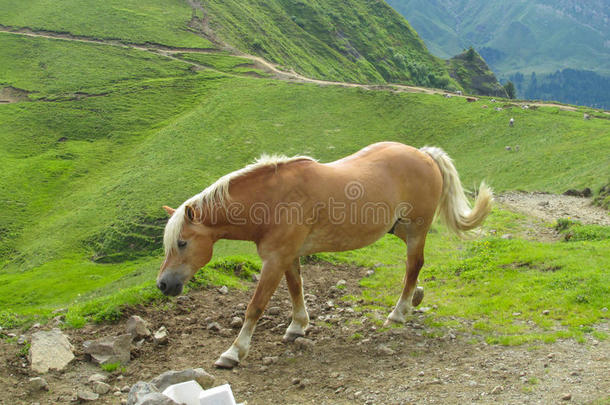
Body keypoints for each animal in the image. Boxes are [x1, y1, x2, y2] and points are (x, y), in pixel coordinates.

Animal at [156, 140, 490, 368]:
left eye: (182, 243)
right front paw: (297, 326)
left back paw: (399, 311)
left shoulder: (274, 260)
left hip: (417, 230)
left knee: (414, 265)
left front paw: (233, 352)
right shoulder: (288, 257)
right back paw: (413, 300)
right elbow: (296, 289)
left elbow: (256, 306)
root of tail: (423, 154)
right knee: (415, 268)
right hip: (398, 228)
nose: (163, 284)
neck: (272, 200)